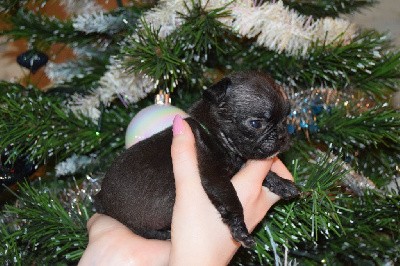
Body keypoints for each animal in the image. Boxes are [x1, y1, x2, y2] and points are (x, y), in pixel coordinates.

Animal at [95, 71, 298, 247]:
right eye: (256, 124)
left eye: (286, 119)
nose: (282, 136)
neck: (216, 134)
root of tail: (100, 198)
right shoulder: (216, 179)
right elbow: (232, 200)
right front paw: (240, 229)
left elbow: (266, 174)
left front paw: (282, 184)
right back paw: (165, 234)